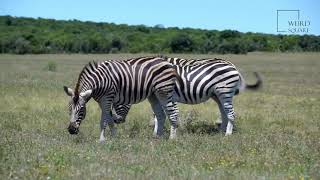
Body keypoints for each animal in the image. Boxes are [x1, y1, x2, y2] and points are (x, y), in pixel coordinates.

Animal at [109, 57, 262, 136]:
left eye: (118, 101)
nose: (116, 121)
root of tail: (232, 65)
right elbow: (158, 114)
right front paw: (157, 132)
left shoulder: (167, 95)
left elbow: (160, 115)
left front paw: (161, 132)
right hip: (217, 95)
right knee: (224, 112)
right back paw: (221, 132)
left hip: (225, 91)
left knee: (230, 113)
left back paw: (227, 134)